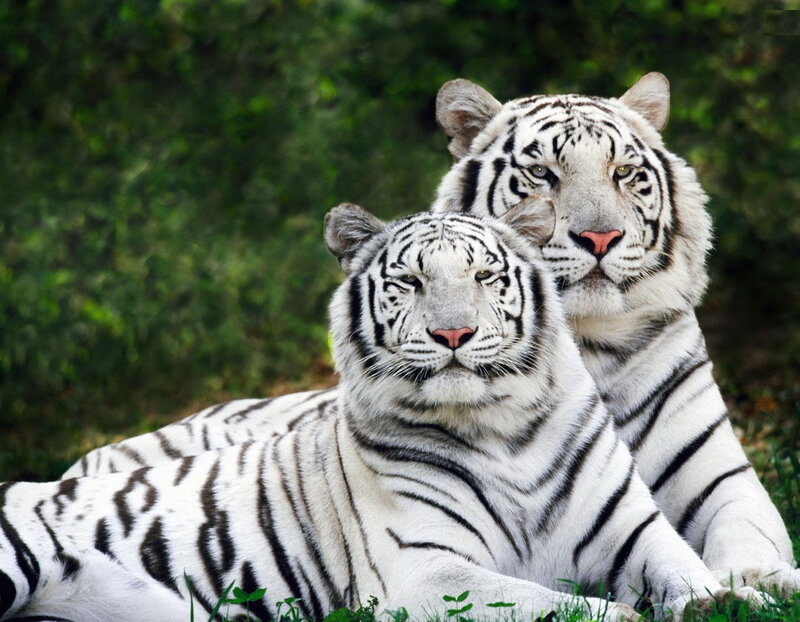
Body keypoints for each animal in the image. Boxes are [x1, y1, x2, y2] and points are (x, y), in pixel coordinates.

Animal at [3, 203, 757, 621]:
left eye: (485, 277)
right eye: (410, 282)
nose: (453, 334)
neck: (504, 429)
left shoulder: (634, 530)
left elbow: (686, 567)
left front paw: (731, 599)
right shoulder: (427, 574)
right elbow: (552, 605)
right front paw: (623, 615)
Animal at [63, 73, 800, 595]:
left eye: (625, 173)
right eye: (542, 174)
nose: (599, 238)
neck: (587, 345)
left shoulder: (721, 479)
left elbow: (750, 539)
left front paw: (762, 584)